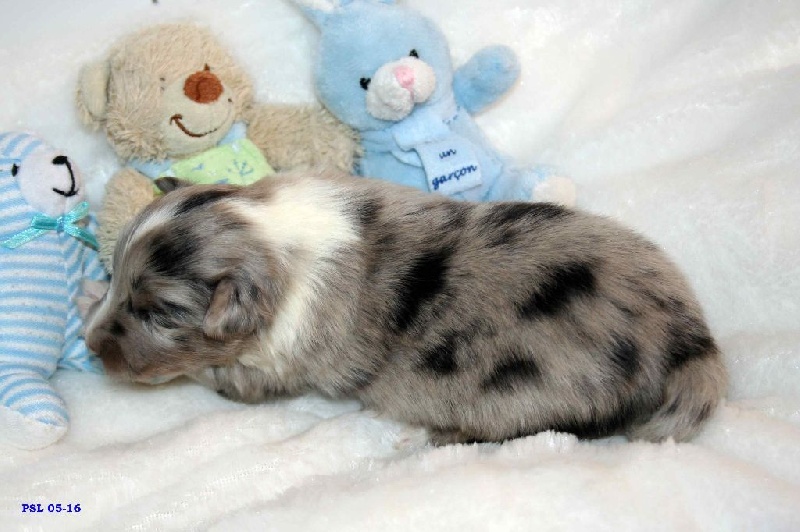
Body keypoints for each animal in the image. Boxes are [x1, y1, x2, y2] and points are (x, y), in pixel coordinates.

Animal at [82, 171, 727, 444]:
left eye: (159, 313)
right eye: (116, 278)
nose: (90, 348)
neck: (270, 235)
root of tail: (689, 336)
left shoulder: (271, 367)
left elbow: (217, 374)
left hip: (533, 399)